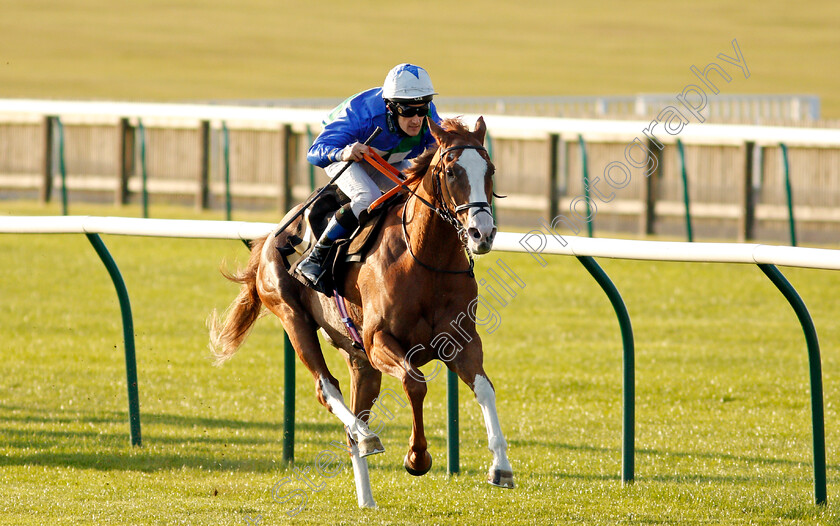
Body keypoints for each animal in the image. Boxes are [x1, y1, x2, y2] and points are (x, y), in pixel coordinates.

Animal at [208, 117, 512, 510]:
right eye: (451, 170)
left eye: (490, 170)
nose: (481, 233)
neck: (425, 258)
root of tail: (272, 235)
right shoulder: (378, 340)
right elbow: (415, 382)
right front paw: (417, 457)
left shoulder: (461, 342)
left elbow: (485, 389)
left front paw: (501, 467)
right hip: (293, 318)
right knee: (327, 389)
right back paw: (366, 436)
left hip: (360, 361)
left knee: (355, 415)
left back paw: (366, 497)